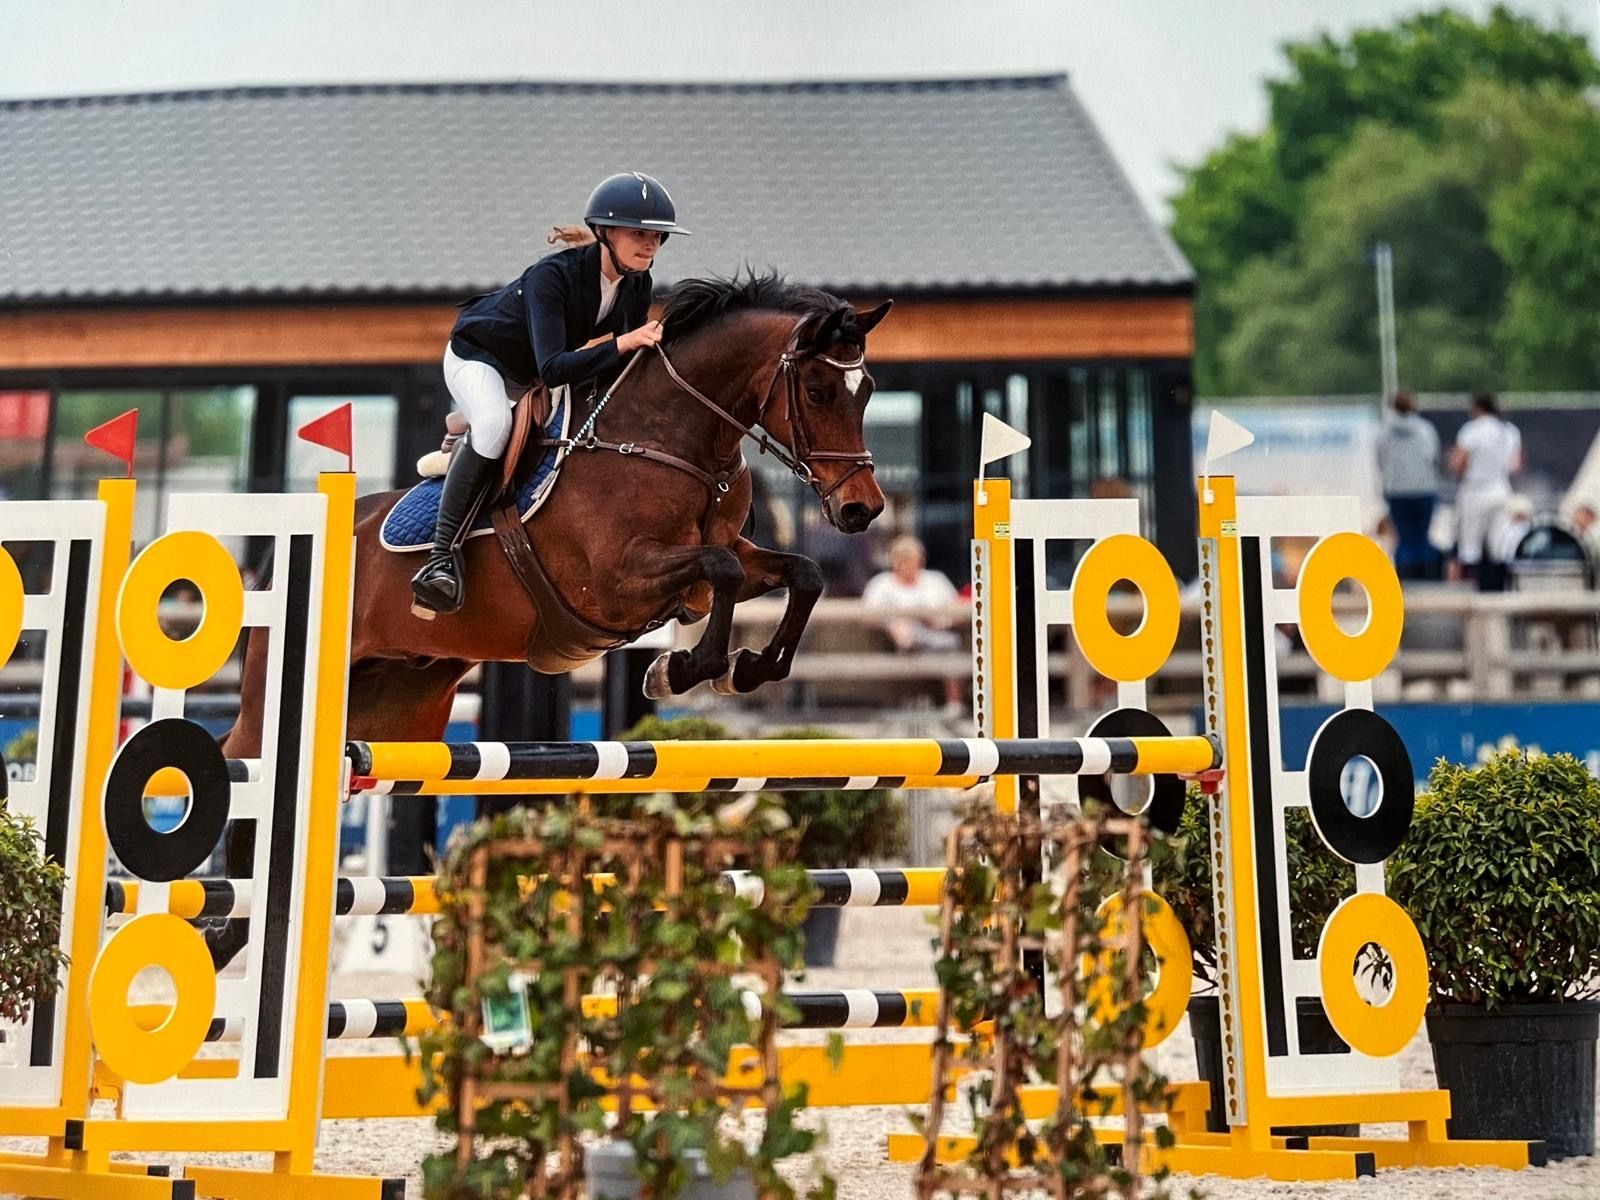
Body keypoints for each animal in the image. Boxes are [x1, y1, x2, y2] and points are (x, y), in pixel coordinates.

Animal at [206, 274, 890, 963]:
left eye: (866, 393)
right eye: (818, 390)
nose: (861, 510)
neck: (669, 442)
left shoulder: (725, 562)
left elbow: (801, 574)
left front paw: (743, 669)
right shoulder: (616, 581)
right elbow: (719, 569)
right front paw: (682, 669)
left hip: (398, 714)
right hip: (281, 700)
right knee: (243, 767)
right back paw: (226, 926)